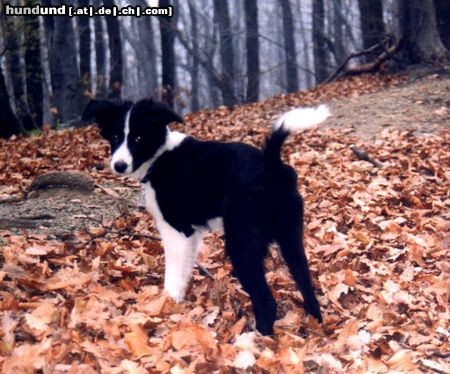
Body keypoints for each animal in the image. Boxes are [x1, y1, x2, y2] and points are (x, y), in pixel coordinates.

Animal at [81, 98, 326, 334]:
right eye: (115, 136)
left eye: (139, 138)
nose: (119, 165)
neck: (160, 156)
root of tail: (271, 164)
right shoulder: (191, 235)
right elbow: (184, 271)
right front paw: (178, 304)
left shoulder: (175, 229)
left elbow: (172, 275)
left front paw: (165, 305)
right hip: (290, 236)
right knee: (306, 283)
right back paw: (316, 323)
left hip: (241, 242)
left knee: (266, 300)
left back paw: (255, 338)